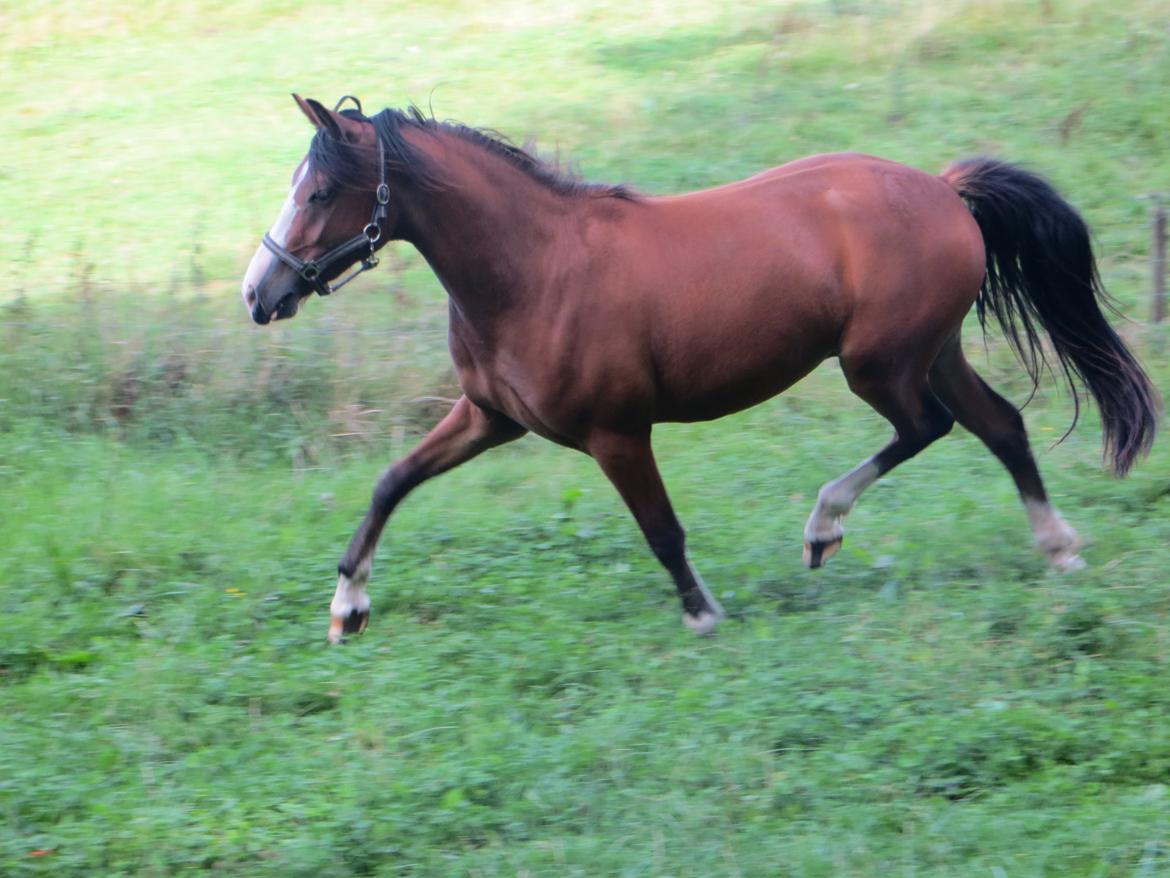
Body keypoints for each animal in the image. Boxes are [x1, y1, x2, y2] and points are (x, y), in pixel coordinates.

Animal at [241, 95, 1159, 644]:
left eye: (319, 192)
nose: (260, 292)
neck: (534, 270)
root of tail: (941, 188)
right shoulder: (488, 418)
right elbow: (390, 483)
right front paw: (348, 609)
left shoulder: (616, 433)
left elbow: (662, 530)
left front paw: (705, 615)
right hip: (932, 350)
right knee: (1000, 426)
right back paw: (1059, 549)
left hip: (879, 364)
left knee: (926, 427)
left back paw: (823, 527)